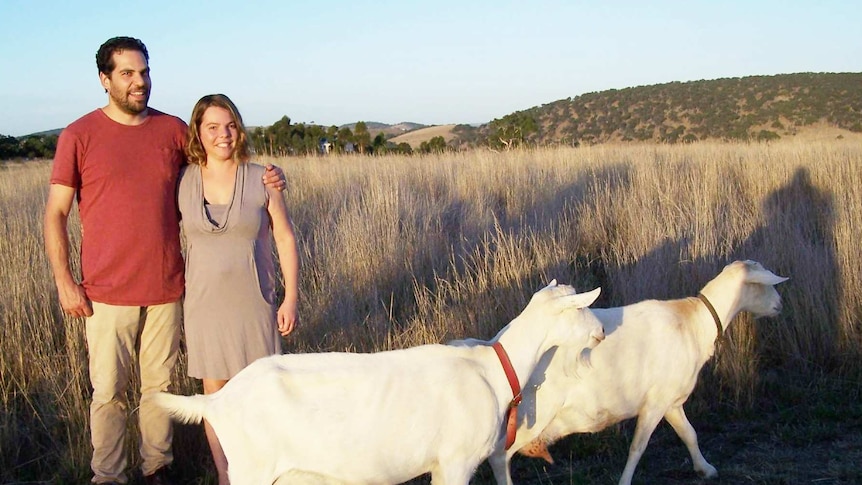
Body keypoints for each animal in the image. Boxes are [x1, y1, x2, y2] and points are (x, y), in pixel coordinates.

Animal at [150, 280, 608, 484]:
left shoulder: (440, 466)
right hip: (252, 469)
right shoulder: (457, 461)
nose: (602, 332)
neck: (494, 366)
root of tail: (217, 402)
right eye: (582, 308)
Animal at [492, 260, 788, 484]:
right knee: (499, 457)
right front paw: (625, 481)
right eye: (764, 285)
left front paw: (705, 469)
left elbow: (689, 434)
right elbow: (637, 448)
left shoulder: (671, 401)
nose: (780, 305)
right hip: (533, 415)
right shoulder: (654, 403)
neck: (694, 322)